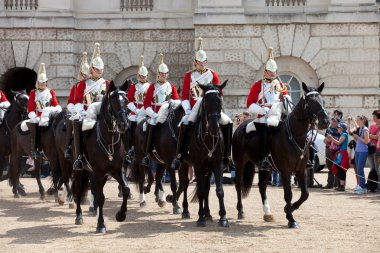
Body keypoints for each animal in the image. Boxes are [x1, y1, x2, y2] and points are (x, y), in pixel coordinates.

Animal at [71, 81, 129, 233]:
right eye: (113, 100)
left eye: (126, 100)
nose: (123, 124)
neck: (109, 140)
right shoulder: (98, 172)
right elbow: (101, 198)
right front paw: (101, 224)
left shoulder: (116, 170)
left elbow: (126, 190)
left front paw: (121, 215)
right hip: (79, 171)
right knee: (78, 191)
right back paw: (79, 216)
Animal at [232, 82, 330, 228]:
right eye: (310, 101)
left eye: (322, 101)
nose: (326, 121)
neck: (295, 135)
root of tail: (240, 127)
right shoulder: (285, 170)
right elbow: (288, 194)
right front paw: (291, 219)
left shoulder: (301, 170)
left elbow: (305, 194)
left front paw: (290, 209)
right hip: (240, 163)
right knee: (238, 184)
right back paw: (240, 211)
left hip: (264, 167)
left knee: (262, 187)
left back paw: (267, 213)